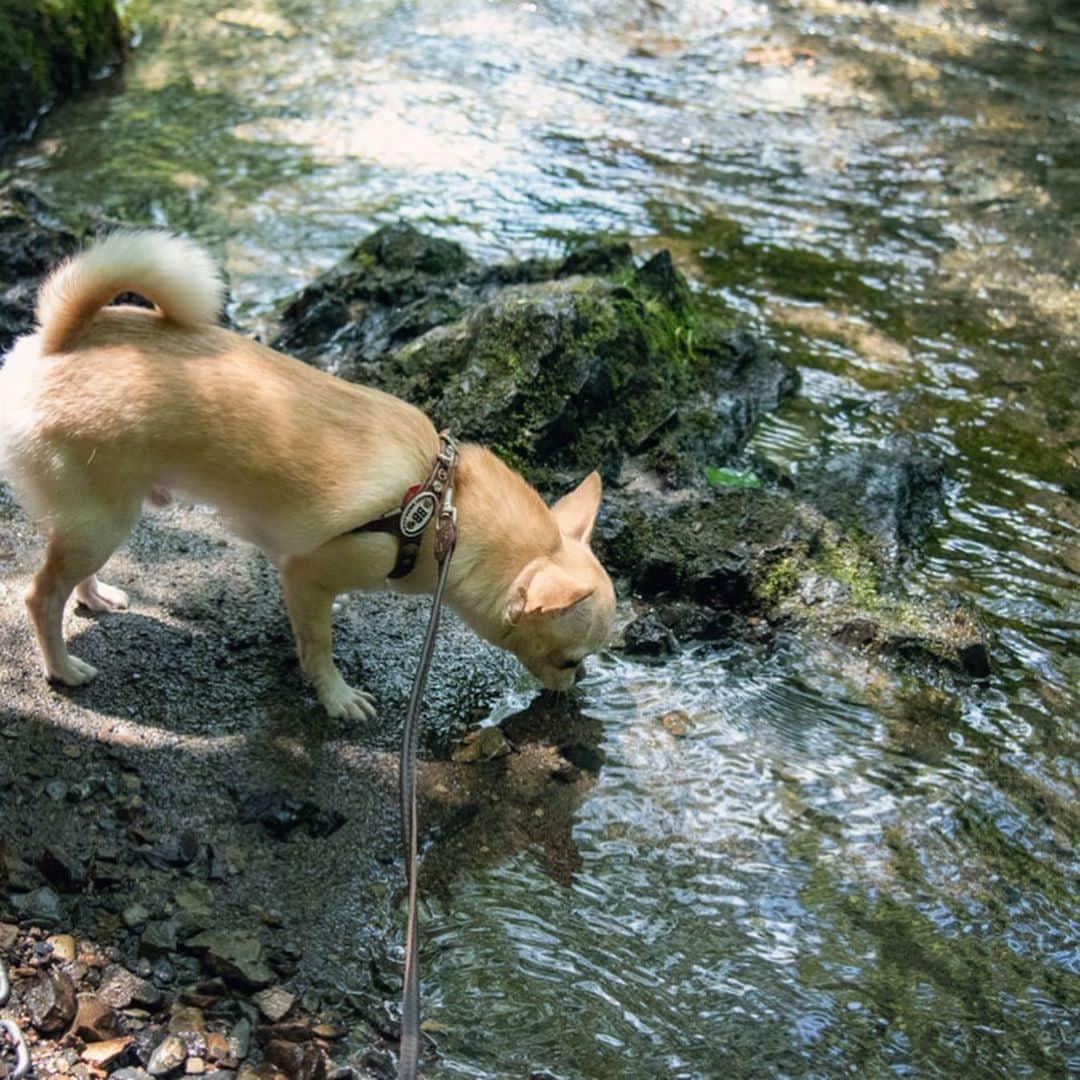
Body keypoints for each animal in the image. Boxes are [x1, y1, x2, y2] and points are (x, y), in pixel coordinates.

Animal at [0, 231, 617, 717]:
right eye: (570, 659)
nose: (582, 680)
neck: (446, 509)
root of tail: (62, 339)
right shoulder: (307, 573)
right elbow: (318, 647)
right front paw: (337, 697)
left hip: (97, 520)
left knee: (70, 578)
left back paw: (95, 596)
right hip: (101, 521)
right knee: (40, 597)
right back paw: (62, 667)